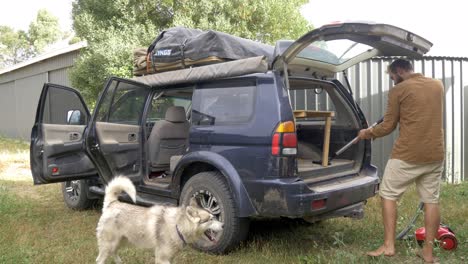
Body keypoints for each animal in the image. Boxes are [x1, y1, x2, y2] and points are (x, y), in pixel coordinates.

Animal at [95, 175, 223, 264]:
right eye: (211, 219)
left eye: (214, 217)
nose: (223, 225)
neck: (177, 226)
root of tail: (112, 203)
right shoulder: (162, 258)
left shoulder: (170, 258)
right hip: (109, 244)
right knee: (100, 259)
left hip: (120, 241)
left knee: (114, 253)